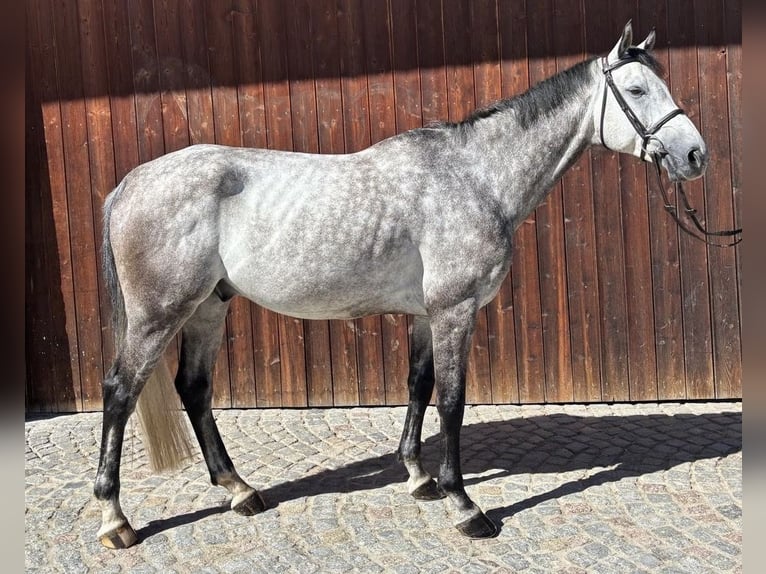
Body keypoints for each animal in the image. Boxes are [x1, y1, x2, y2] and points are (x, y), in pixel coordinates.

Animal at [94, 22, 709, 548]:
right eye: (637, 88)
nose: (694, 155)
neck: (475, 177)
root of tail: (128, 183)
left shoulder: (424, 314)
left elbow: (418, 386)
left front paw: (419, 479)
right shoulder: (456, 310)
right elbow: (453, 402)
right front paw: (465, 506)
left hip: (208, 307)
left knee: (194, 389)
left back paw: (240, 491)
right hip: (158, 314)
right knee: (120, 392)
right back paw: (116, 520)